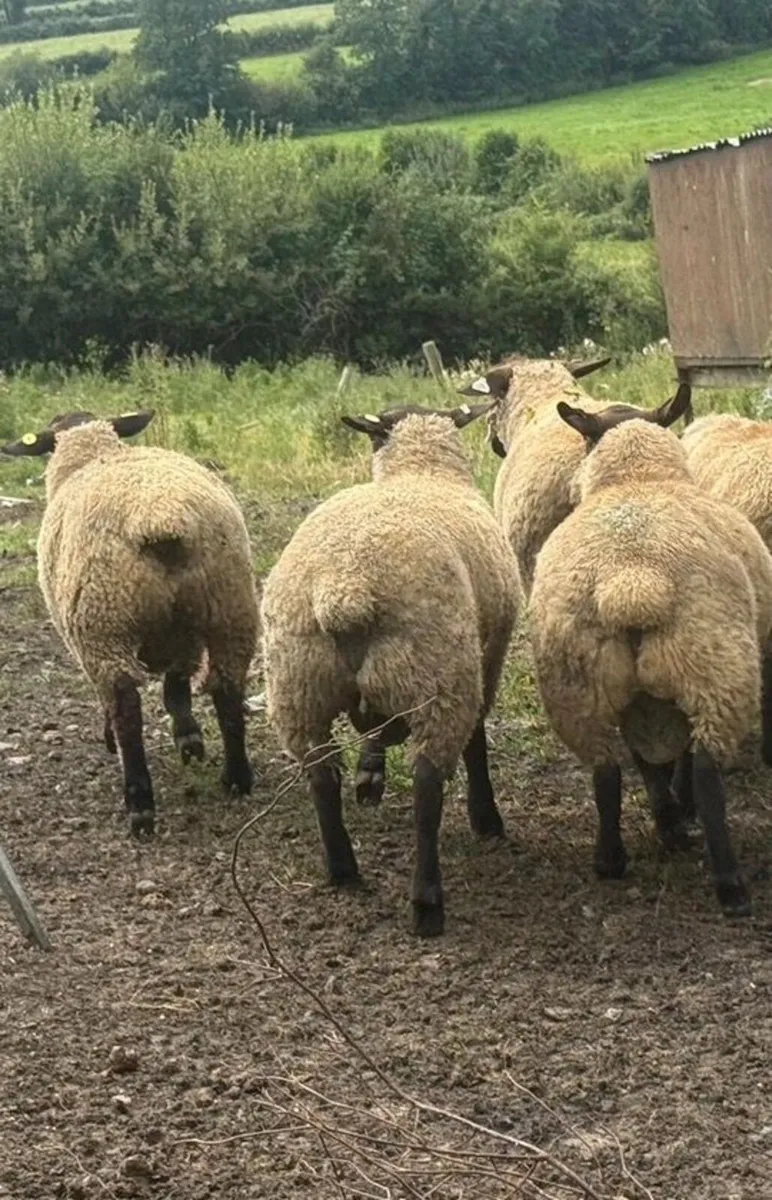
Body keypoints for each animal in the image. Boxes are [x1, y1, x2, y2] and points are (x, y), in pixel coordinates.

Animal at [1, 410, 259, 837]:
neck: (89, 454)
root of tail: (162, 517)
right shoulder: (183, 637)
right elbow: (177, 687)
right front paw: (188, 737)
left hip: (103, 622)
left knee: (125, 706)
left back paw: (139, 803)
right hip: (229, 605)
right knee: (226, 687)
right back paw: (237, 778)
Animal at [260, 402, 521, 937]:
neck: (420, 470)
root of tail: (345, 589)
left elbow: (375, 729)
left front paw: (370, 775)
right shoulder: (487, 656)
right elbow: (478, 740)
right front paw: (486, 818)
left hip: (298, 683)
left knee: (321, 775)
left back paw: (343, 869)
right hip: (439, 671)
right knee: (426, 783)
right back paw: (427, 903)